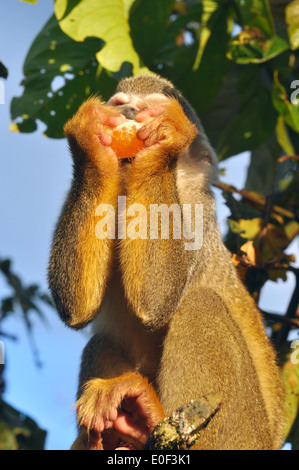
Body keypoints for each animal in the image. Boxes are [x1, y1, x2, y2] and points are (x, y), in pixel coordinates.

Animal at [48, 74, 286, 452]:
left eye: (147, 109)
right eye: (120, 105)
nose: (129, 112)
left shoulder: (193, 207)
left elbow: (156, 301)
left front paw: (165, 143)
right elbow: (77, 309)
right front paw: (89, 140)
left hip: (242, 436)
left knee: (201, 305)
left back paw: (151, 415)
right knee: (99, 340)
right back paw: (131, 425)